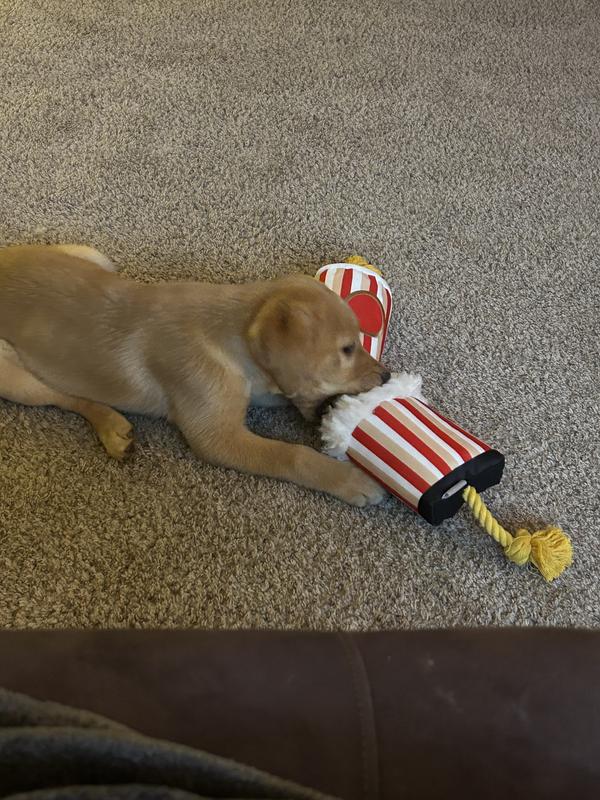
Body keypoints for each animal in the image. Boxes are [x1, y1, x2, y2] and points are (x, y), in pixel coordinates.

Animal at [0, 244, 390, 506]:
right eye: (346, 349)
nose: (387, 376)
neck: (230, 336)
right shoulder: (216, 437)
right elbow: (292, 455)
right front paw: (350, 479)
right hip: (12, 376)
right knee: (61, 395)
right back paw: (109, 425)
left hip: (94, 256)